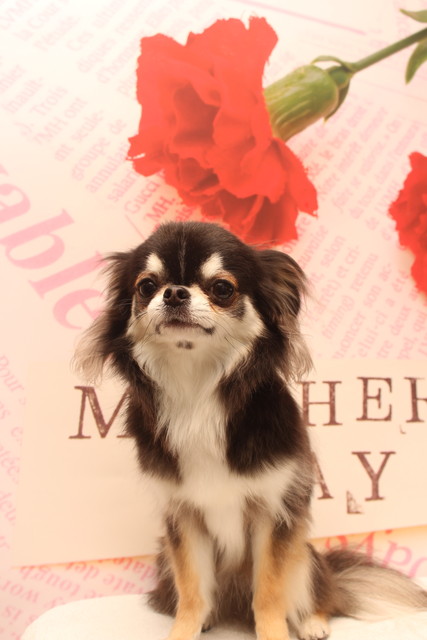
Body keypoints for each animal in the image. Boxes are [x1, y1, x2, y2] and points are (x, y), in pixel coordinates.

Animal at [75, 221, 427, 640]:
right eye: (146, 286)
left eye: (222, 288)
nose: (174, 292)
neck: (197, 392)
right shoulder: (184, 520)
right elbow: (192, 592)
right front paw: (184, 630)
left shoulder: (274, 516)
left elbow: (270, 594)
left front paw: (275, 632)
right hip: (165, 558)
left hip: (303, 555)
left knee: (316, 595)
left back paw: (312, 622)